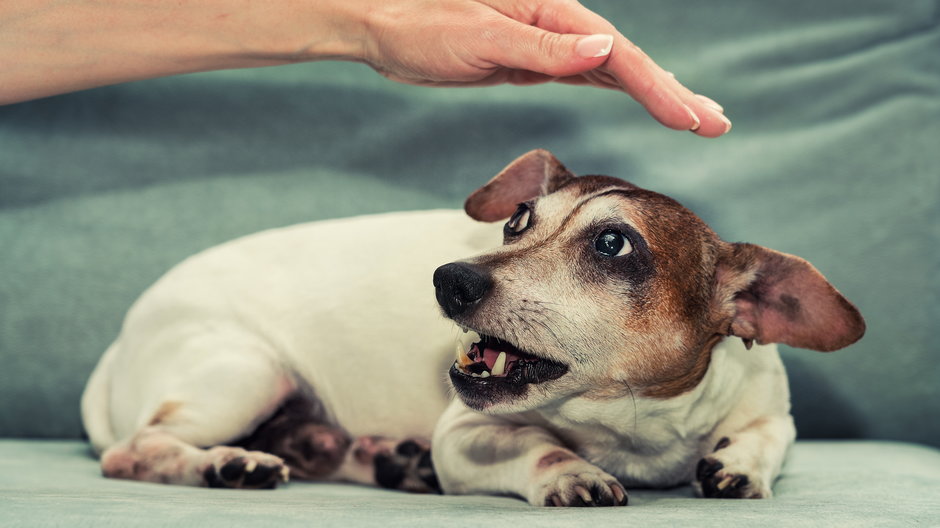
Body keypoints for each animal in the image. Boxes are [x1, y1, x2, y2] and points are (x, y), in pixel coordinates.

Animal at [82, 151, 868, 506]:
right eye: (518, 221)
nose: (450, 278)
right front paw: (572, 471)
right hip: (244, 372)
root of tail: (117, 345)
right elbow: (539, 449)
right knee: (133, 450)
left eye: (614, 244)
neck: (631, 426)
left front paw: (740, 465)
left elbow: (767, 437)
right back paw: (227, 463)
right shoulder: (465, 434)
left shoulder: (770, 408)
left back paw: (381, 458)